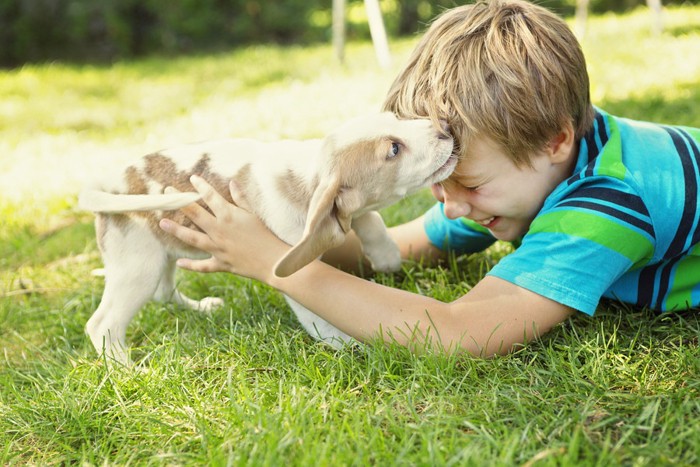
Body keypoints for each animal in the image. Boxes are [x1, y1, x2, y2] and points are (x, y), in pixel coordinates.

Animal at [79, 113, 456, 366]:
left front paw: (386, 255)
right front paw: (348, 345)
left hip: (161, 254)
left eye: (397, 118)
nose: (445, 127)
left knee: (163, 293)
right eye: (394, 149)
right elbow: (318, 317)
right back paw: (127, 371)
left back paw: (200, 308)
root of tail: (109, 186)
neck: (307, 174)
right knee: (102, 325)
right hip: (138, 266)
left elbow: (370, 218)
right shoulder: (298, 271)